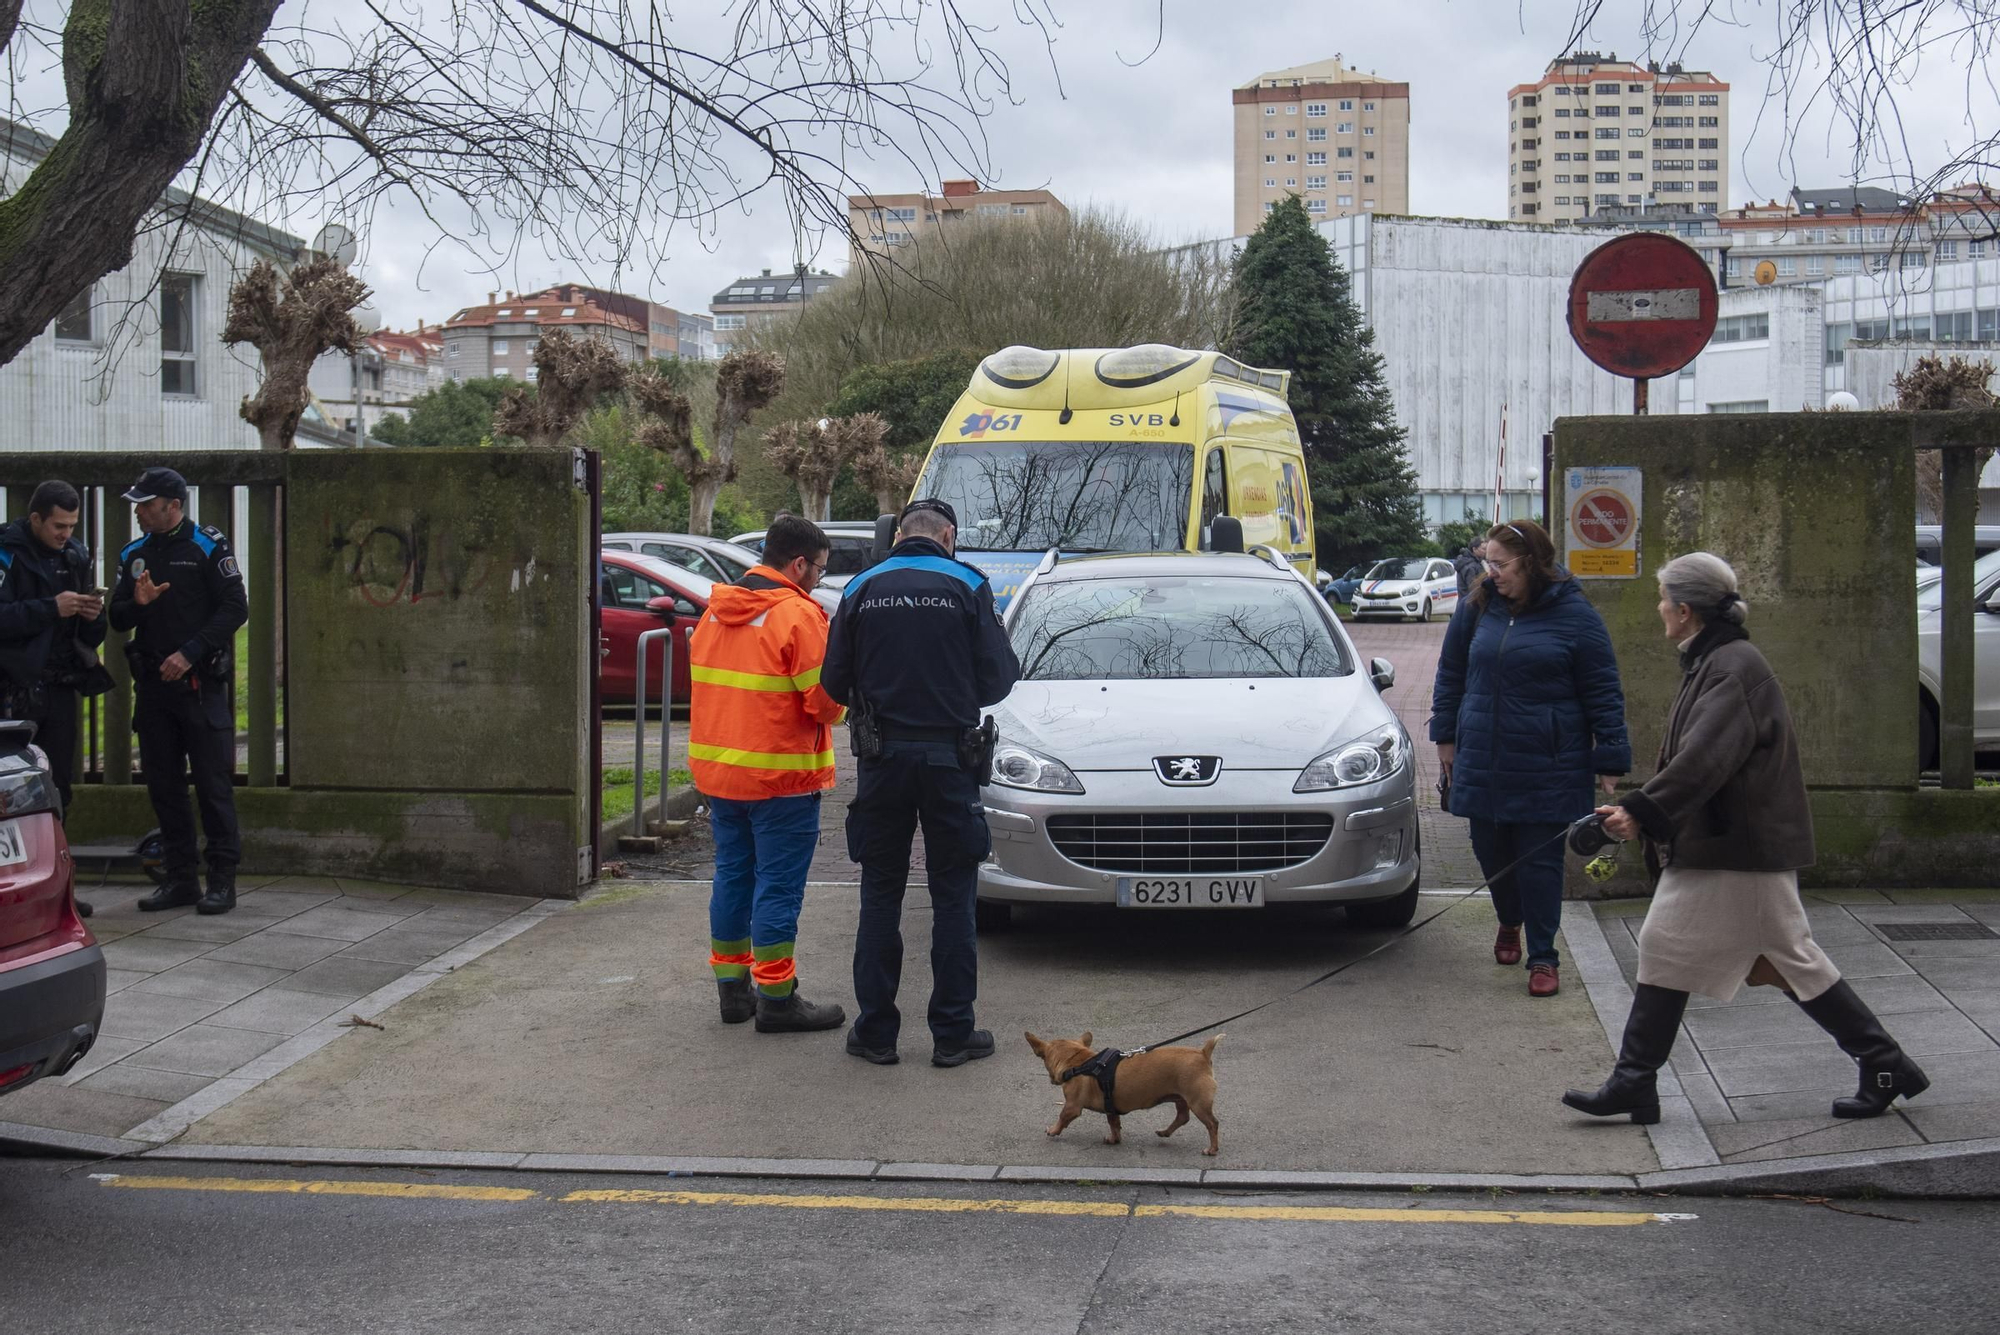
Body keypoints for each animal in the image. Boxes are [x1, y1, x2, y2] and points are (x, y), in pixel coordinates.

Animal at [1024, 1031, 1224, 1159]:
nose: (1051, 1079)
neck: (1079, 1062)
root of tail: (1203, 1054)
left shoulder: (1072, 1107)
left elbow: (1062, 1117)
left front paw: (1053, 1130)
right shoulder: (1111, 1108)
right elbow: (1114, 1124)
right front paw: (1114, 1139)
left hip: (1197, 1103)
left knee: (1212, 1124)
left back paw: (1212, 1149)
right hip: (1181, 1099)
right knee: (1182, 1117)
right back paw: (1165, 1132)